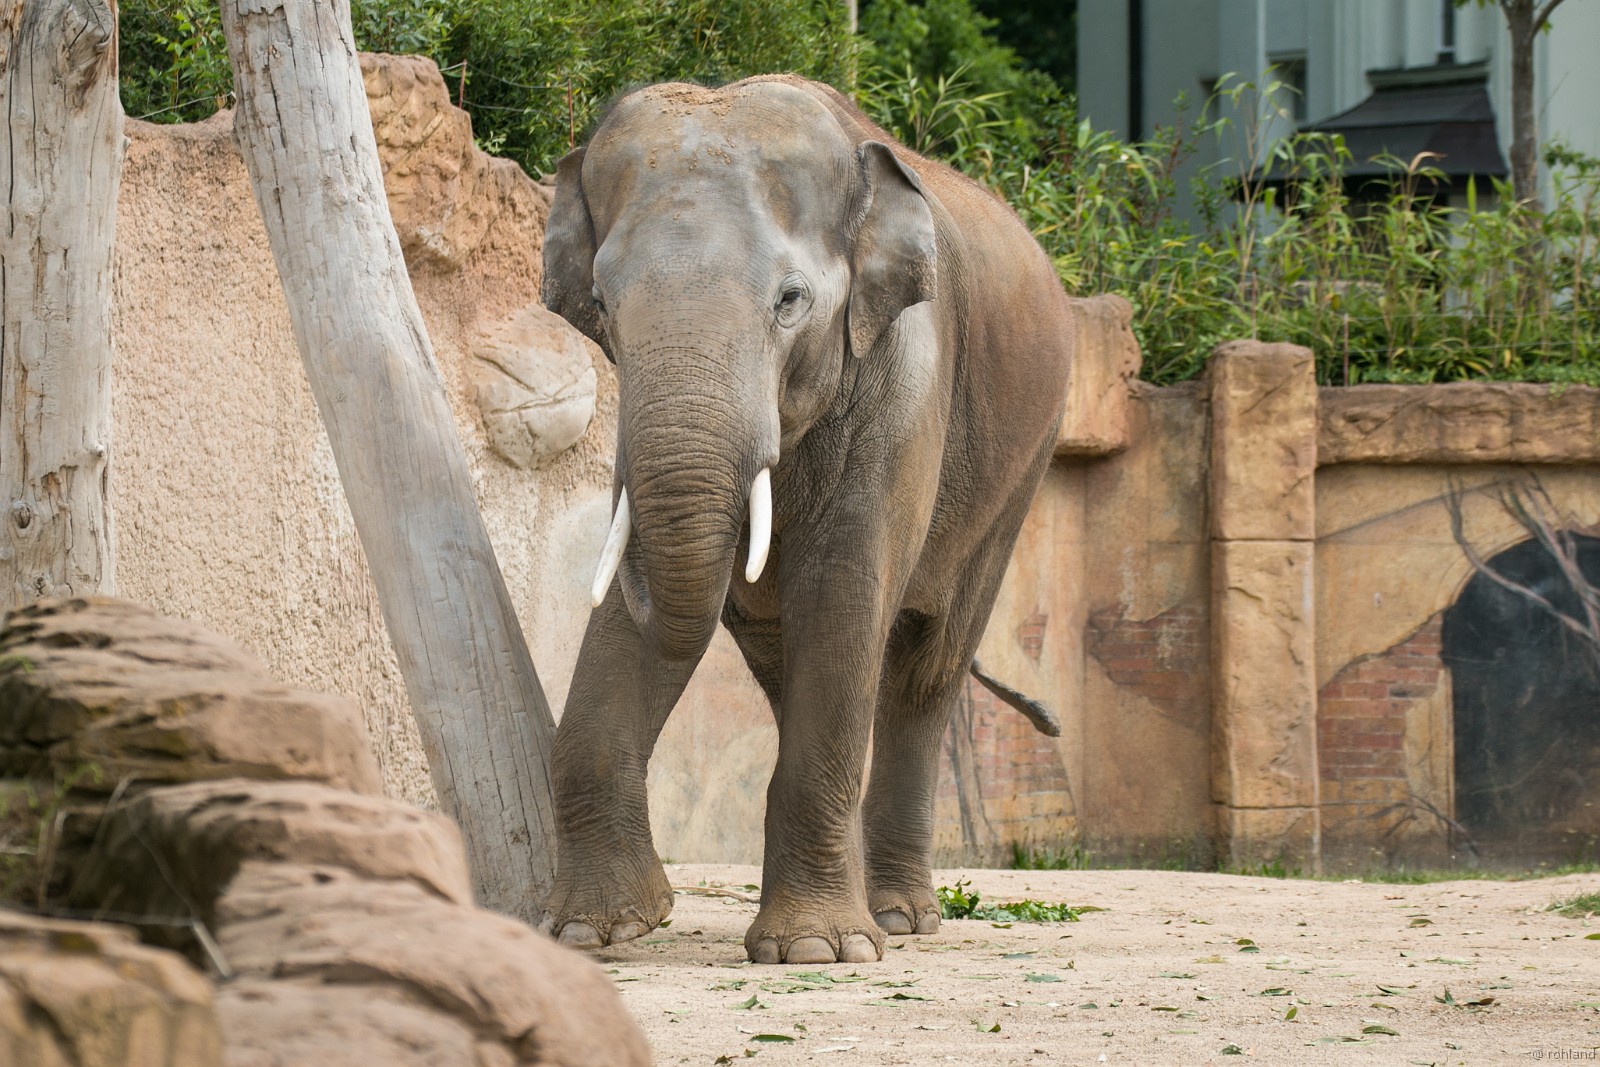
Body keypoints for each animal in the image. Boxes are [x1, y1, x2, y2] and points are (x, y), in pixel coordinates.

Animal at [539, 74, 1073, 965]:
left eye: (790, 301)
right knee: (787, 658)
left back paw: (897, 918)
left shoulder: (904, 385)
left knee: (924, 669)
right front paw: (592, 929)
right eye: (604, 306)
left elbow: (844, 592)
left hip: (1023, 464)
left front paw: (820, 951)